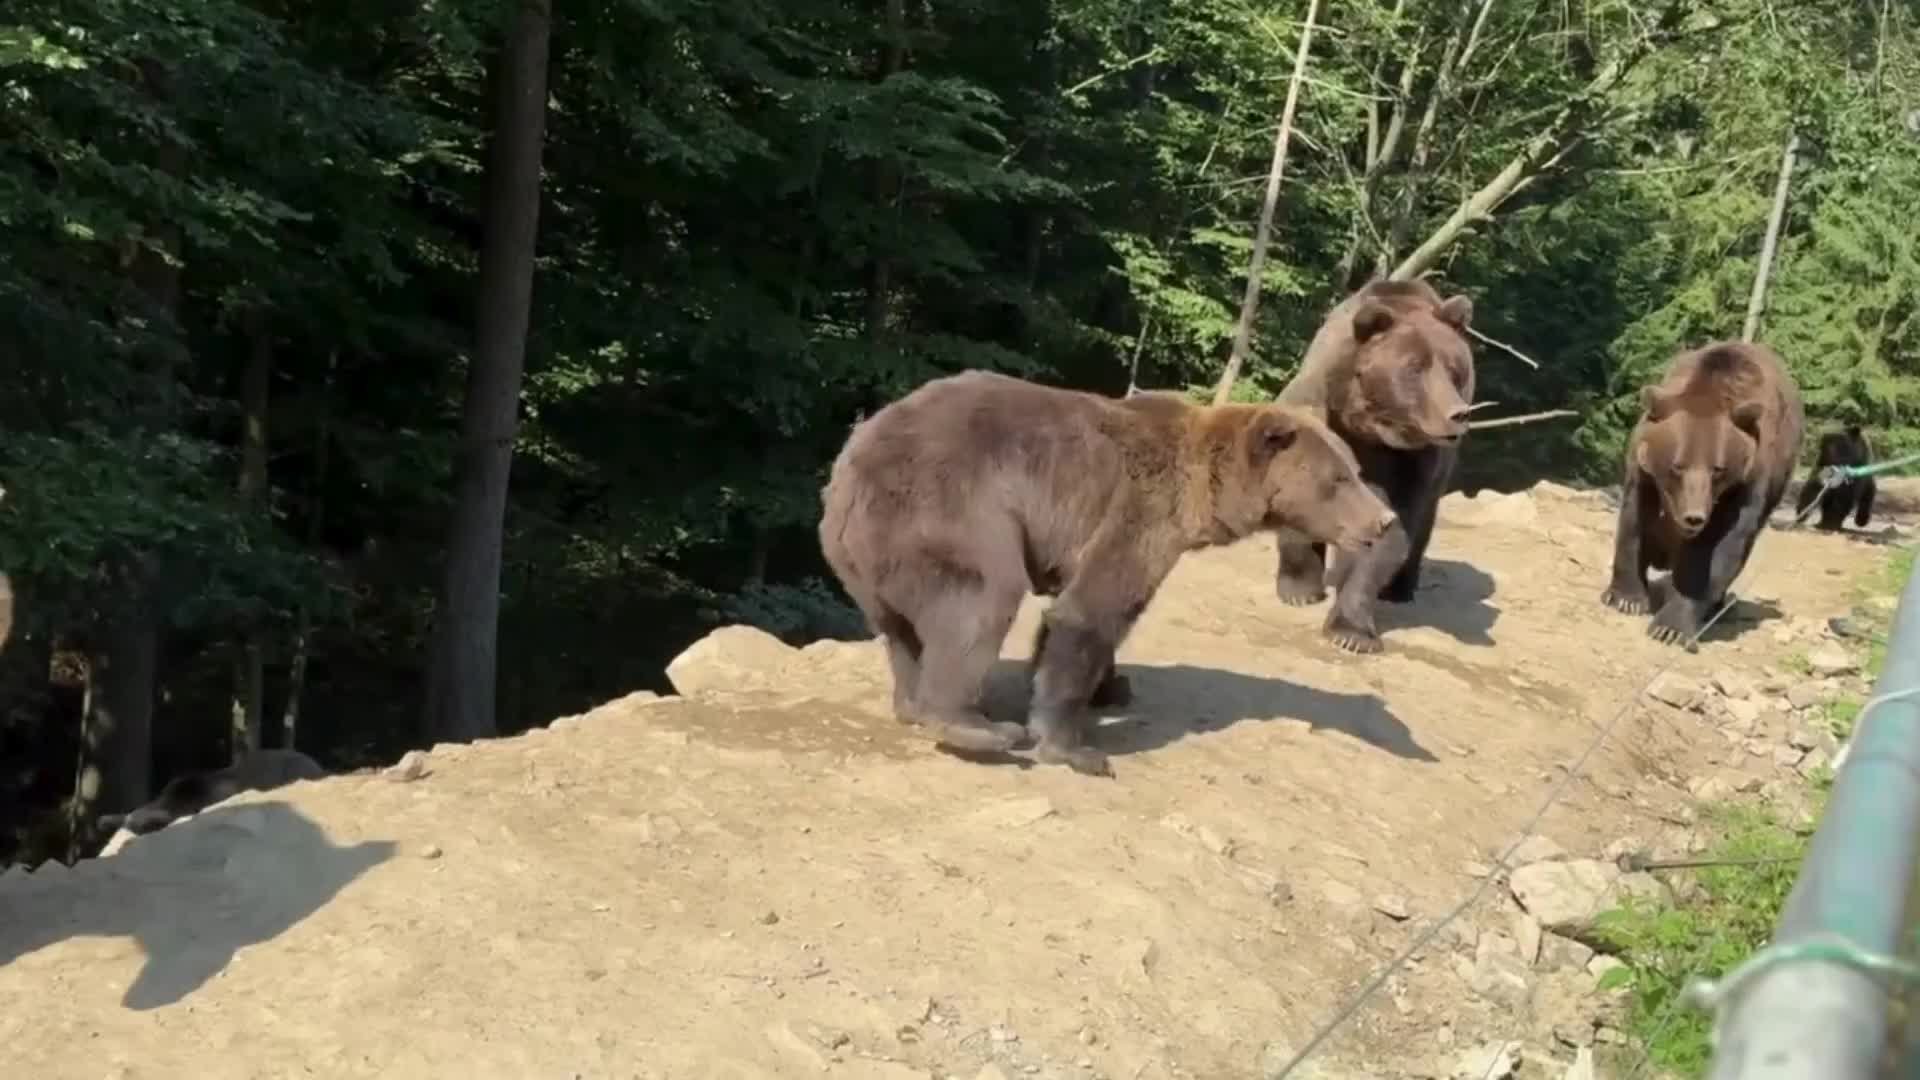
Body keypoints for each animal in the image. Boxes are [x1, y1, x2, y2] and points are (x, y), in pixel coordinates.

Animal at [817, 369, 1397, 776]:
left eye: (1355, 470)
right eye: (1338, 479)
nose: (1384, 520)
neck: (1203, 492)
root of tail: (849, 461)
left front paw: (1111, 686)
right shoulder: (1138, 511)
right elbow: (1092, 611)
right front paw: (1075, 748)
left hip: (869, 558)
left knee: (901, 630)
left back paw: (912, 704)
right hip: (948, 506)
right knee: (980, 598)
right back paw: (975, 725)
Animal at [1269, 278, 1477, 654]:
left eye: (1455, 370)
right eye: (1414, 367)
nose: (1458, 413)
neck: (1368, 427)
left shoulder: (1411, 462)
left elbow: (1392, 529)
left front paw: (1351, 632)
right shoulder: (1317, 415)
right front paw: (1299, 590)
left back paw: (1399, 590)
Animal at [1600, 340, 1805, 645]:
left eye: (1717, 469)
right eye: (1677, 465)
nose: (1694, 517)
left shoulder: (1745, 486)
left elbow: (1717, 550)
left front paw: (1670, 627)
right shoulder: (1644, 473)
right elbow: (1633, 522)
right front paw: (1627, 598)